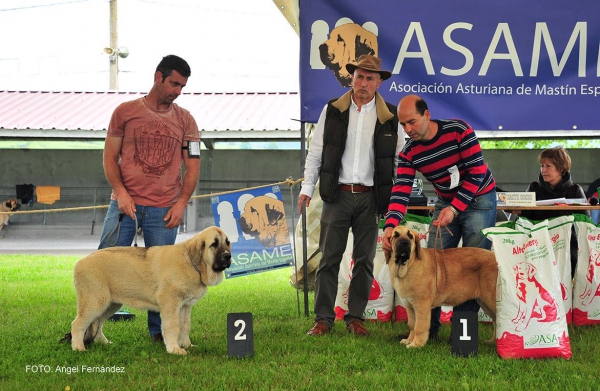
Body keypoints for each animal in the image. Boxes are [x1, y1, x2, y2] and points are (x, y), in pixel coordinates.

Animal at [69, 227, 231, 356]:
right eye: (214, 244)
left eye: (227, 242)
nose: (228, 256)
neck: (193, 264)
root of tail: (80, 262)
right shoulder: (171, 305)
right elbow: (173, 327)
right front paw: (174, 349)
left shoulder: (185, 306)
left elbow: (185, 326)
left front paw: (187, 345)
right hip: (95, 302)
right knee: (78, 324)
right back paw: (78, 348)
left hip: (110, 305)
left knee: (98, 324)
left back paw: (103, 342)